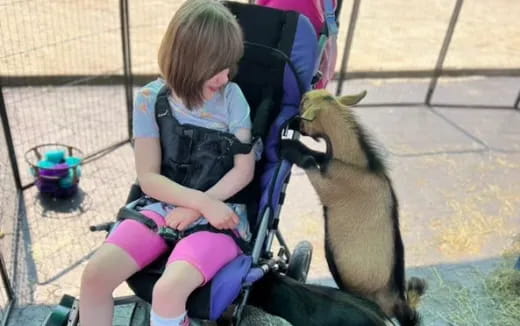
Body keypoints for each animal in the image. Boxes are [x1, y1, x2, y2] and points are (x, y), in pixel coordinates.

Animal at [280, 89, 426, 326]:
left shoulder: (329, 187)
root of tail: (398, 304)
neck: (357, 165)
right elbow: (317, 155)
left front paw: (288, 148)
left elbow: (310, 163)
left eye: (303, 104)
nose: (291, 121)